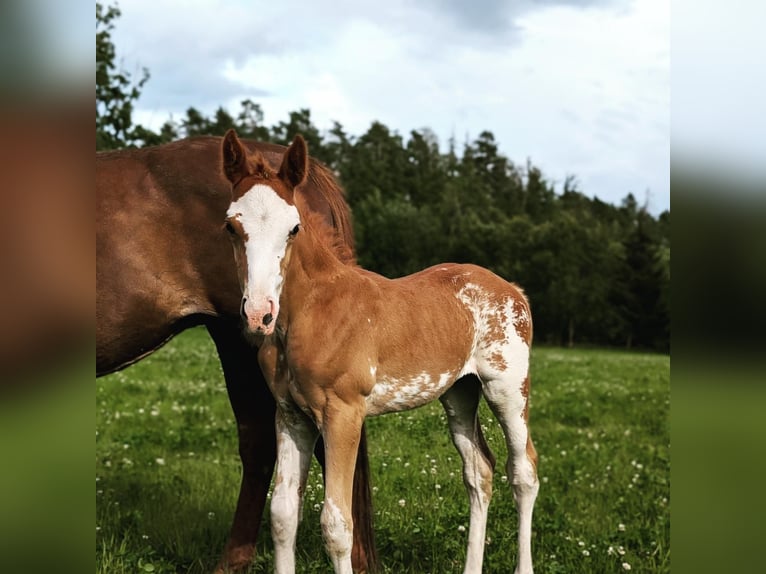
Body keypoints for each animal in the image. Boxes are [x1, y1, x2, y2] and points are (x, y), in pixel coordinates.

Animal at [222, 130, 540, 574]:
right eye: (231, 226)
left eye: (293, 229)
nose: (258, 314)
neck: (312, 311)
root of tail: (513, 289)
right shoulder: (289, 414)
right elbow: (283, 514)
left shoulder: (342, 413)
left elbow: (337, 524)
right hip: (460, 392)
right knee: (480, 471)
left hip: (506, 387)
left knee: (524, 471)